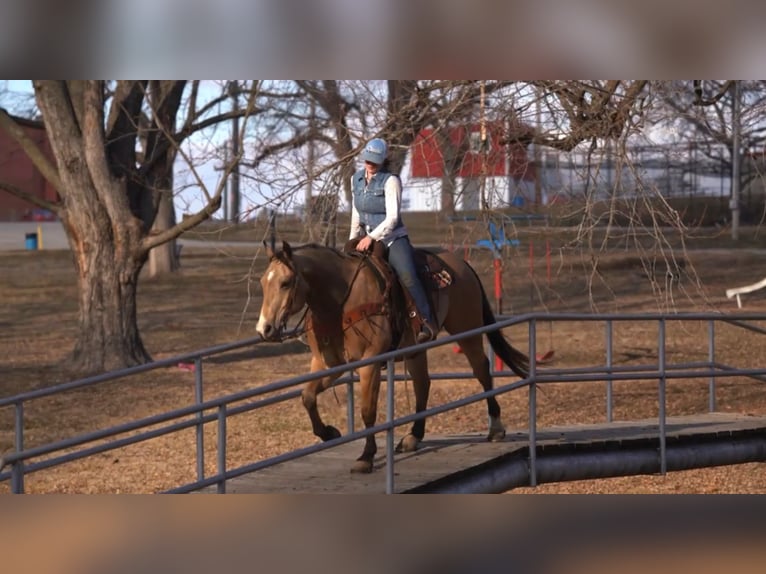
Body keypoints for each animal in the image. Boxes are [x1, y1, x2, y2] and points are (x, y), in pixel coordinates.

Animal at [255, 241, 532, 474]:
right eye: (263, 283)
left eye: (286, 282)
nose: (264, 329)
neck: (341, 299)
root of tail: (461, 264)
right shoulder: (329, 364)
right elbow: (307, 396)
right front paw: (329, 432)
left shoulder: (370, 363)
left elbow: (368, 411)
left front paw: (366, 457)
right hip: (415, 348)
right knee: (422, 384)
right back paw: (413, 437)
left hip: (467, 329)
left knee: (481, 370)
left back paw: (496, 428)